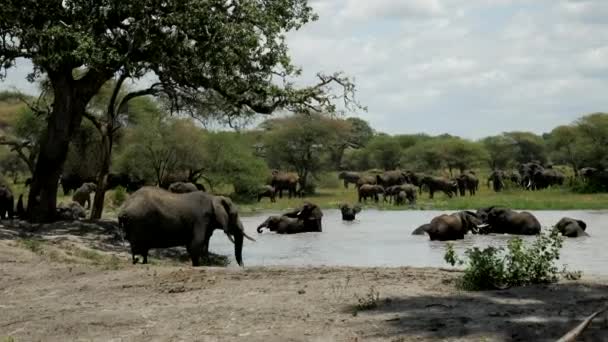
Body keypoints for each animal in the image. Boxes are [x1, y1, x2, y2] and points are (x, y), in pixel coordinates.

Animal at [117, 186, 253, 266]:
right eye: (235, 215)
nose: (242, 267)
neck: (214, 197)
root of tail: (123, 208)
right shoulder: (201, 219)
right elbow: (195, 244)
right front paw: (197, 265)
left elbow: (201, 245)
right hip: (138, 222)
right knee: (139, 247)